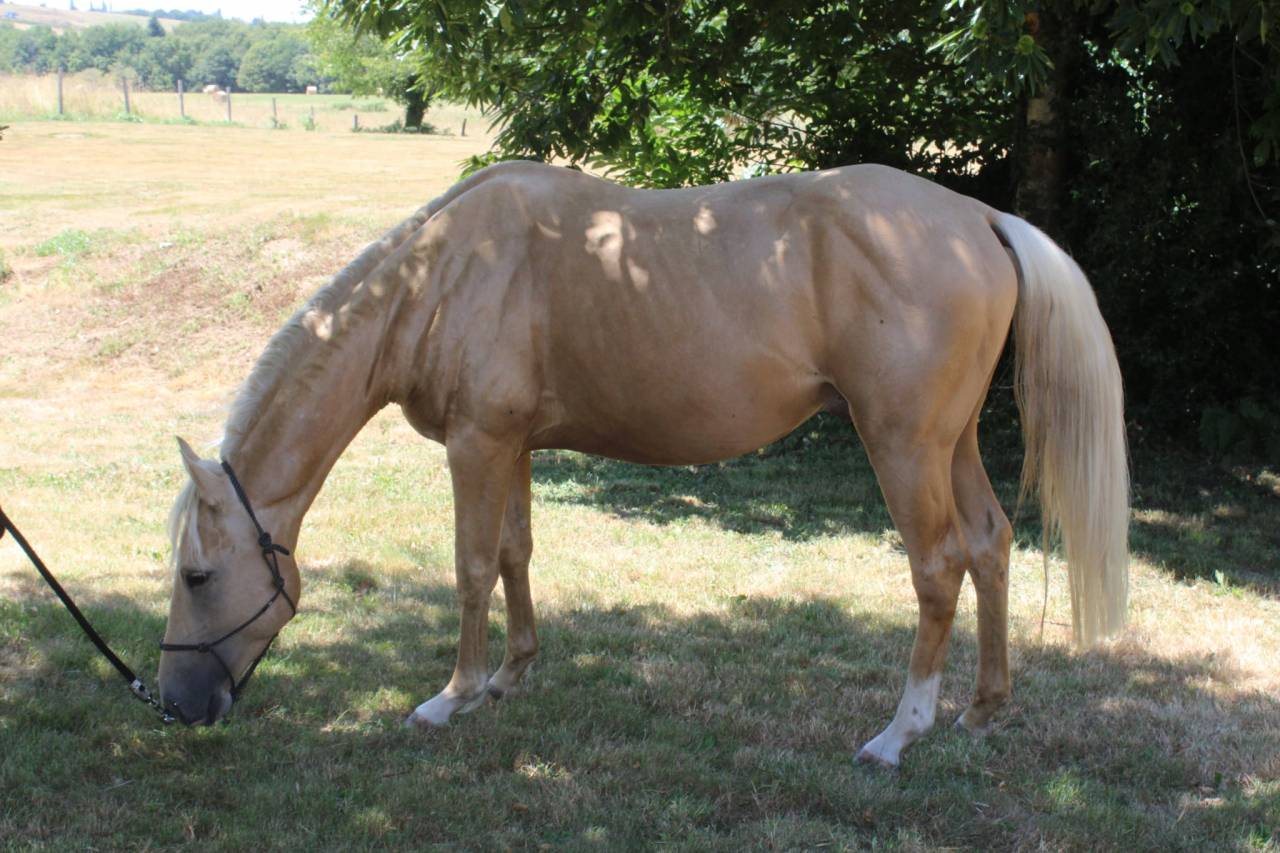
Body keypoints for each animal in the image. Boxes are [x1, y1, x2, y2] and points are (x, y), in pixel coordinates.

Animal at [158, 161, 1128, 767]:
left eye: (199, 575)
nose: (174, 705)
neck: (440, 278)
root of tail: (980, 219)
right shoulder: (511, 445)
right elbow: (513, 553)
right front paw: (510, 676)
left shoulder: (477, 445)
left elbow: (471, 567)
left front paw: (450, 696)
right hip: (950, 442)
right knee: (991, 543)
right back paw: (983, 709)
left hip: (903, 444)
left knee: (939, 564)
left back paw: (899, 733)